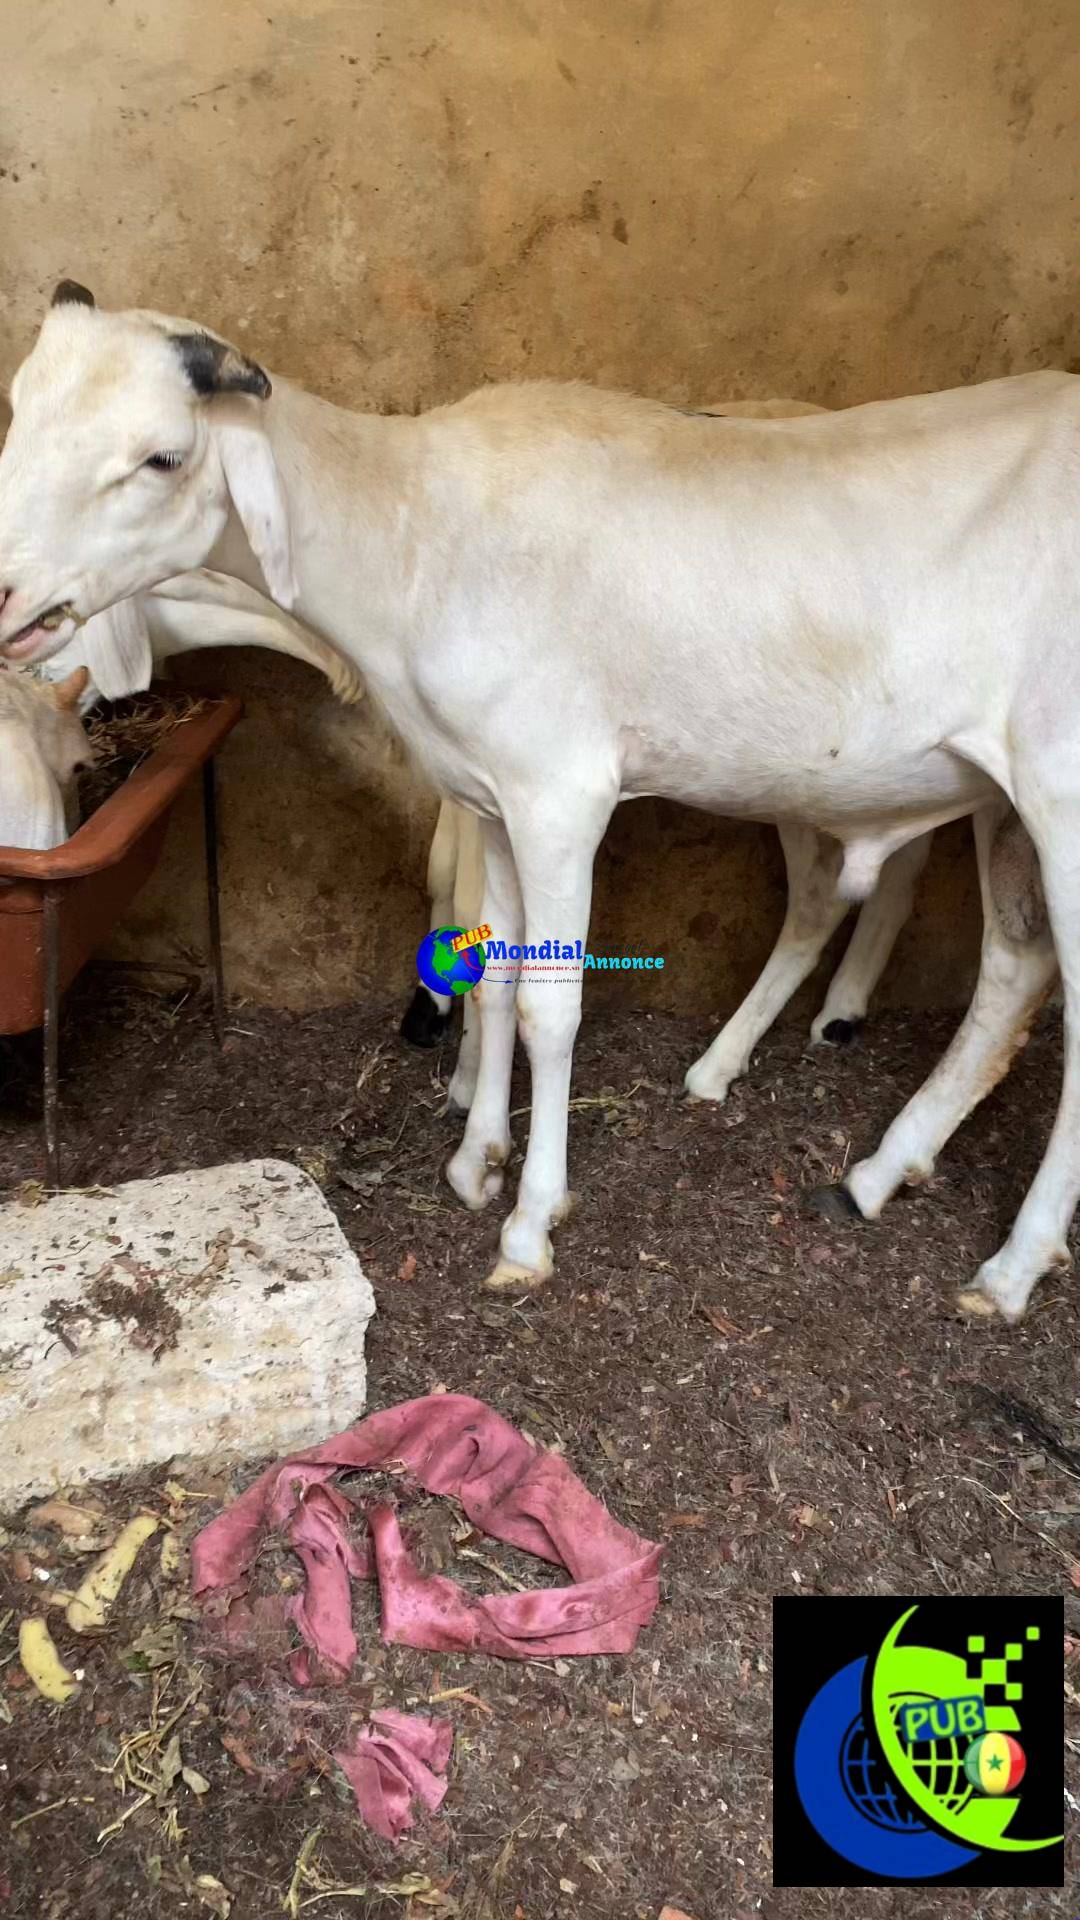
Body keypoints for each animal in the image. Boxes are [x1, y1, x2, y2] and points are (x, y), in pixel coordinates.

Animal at [0, 284, 1072, 1323]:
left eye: (162, 456)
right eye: (20, 413)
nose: (4, 591)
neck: (413, 535)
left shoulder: (560, 794)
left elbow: (551, 1007)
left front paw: (527, 1228)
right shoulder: (491, 796)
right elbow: (498, 976)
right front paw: (477, 1162)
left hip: (1053, 791)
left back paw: (1010, 1268)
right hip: (995, 797)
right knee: (1010, 971)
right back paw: (876, 1171)